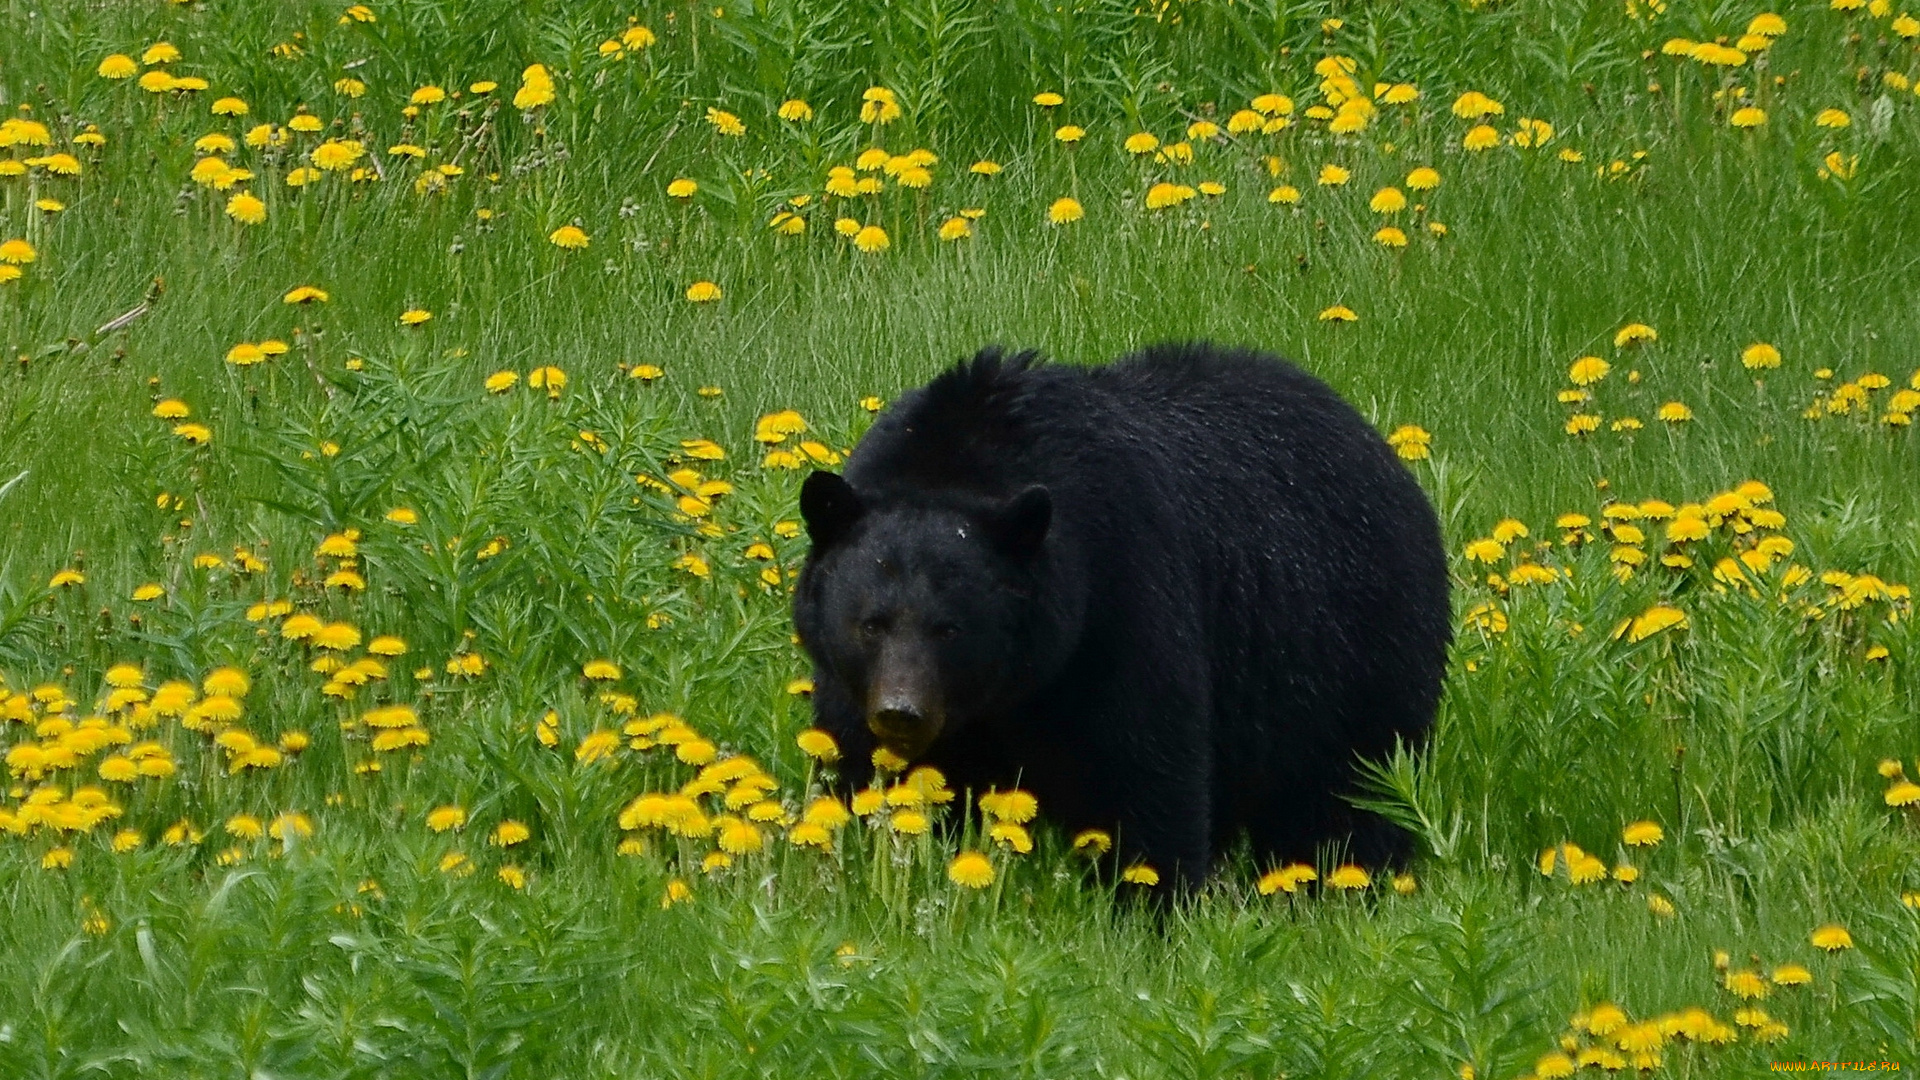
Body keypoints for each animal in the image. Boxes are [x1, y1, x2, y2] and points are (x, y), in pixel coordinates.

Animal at [791, 342, 1443, 883]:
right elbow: (858, 765)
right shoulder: (853, 687)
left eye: (949, 629)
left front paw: (1150, 904)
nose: (902, 713)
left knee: (1351, 797)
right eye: (870, 623)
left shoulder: (1121, 599)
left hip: (1353, 654)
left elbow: (1144, 772)